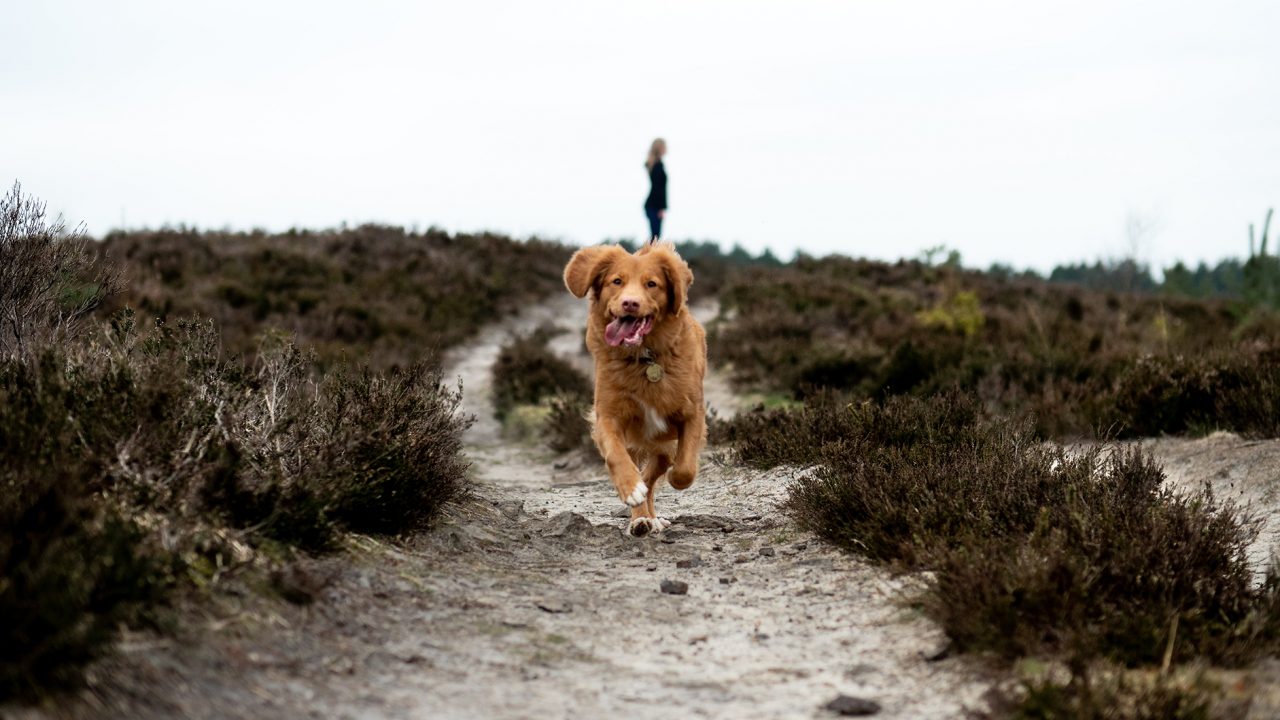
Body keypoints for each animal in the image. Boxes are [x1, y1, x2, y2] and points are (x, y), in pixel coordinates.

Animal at [563, 239, 706, 532]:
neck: (645, 357)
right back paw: (641, 519)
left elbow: (685, 468)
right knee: (644, 477)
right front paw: (630, 489)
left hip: (662, 447)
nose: (630, 303)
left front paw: (675, 478)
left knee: (653, 476)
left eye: (652, 284)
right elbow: (616, 455)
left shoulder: (692, 413)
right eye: (616, 281)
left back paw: (651, 516)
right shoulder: (609, 416)